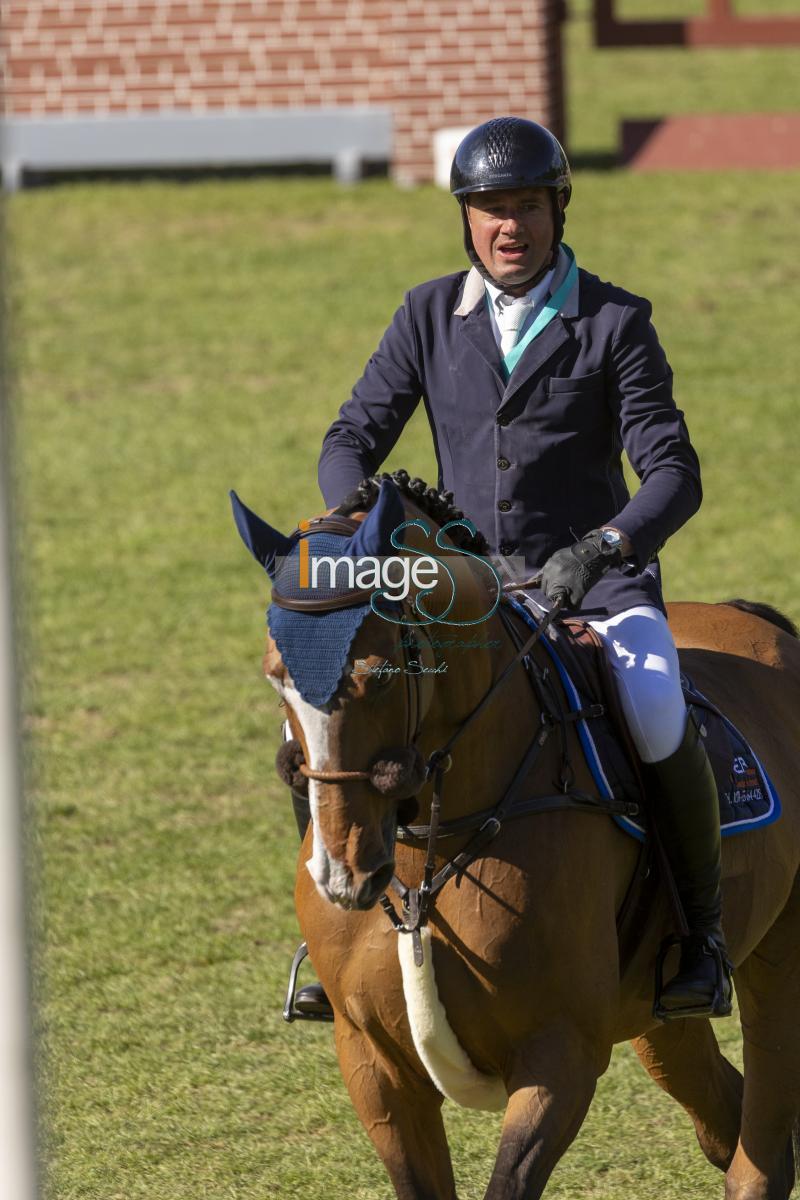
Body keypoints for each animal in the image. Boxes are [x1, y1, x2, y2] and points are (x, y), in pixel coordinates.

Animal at [231, 472, 800, 1195]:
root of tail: (761, 626)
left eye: (380, 674)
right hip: (652, 1011)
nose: (345, 874)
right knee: (721, 1114)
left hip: (779, 954)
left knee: (764, 1129)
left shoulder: (558, 1054)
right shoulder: (372, 1065)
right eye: (276, 675)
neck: (427, 846)